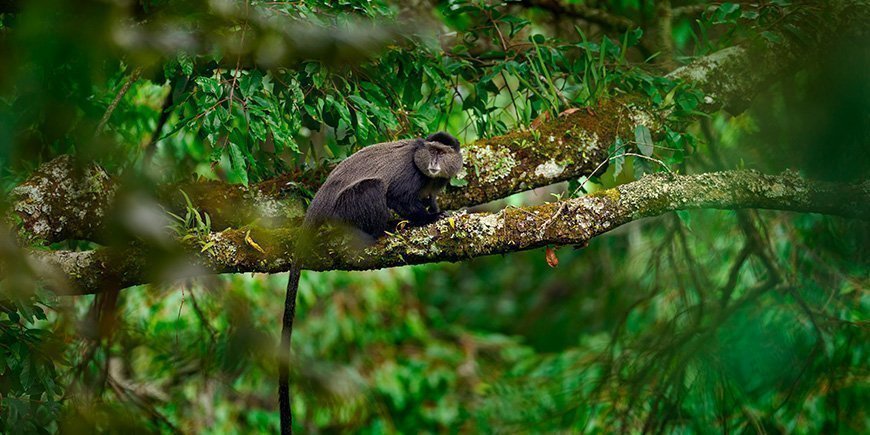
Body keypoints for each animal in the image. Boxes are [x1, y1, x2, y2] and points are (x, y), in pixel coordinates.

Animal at [282, 131, 466, 434]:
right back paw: (382, 230)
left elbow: (430, 198)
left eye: (442, 153)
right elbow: (397, 196)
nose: (434, 164)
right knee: (374, 187)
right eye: (432, 151)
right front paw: (429, 217)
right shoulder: (410, 175)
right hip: (345, 207)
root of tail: (320, 201)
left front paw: (435, 209)